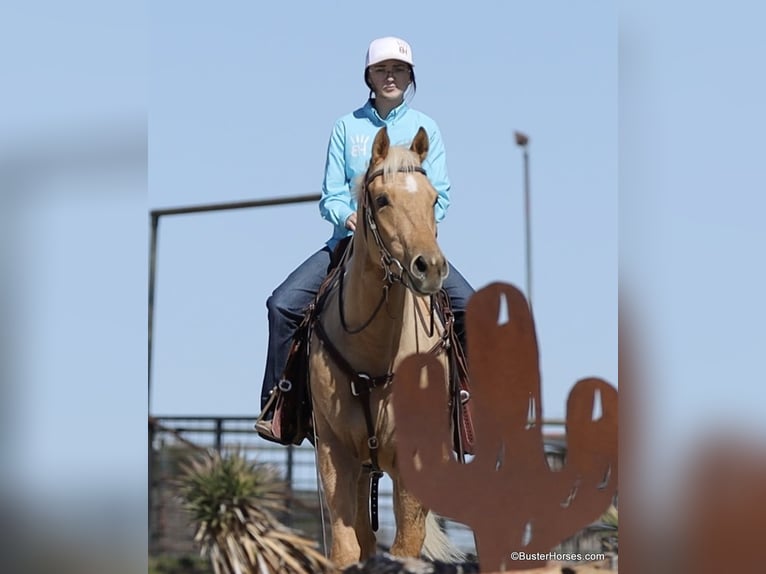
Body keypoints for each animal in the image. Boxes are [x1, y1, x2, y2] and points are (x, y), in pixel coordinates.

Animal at [309, 126, 461, 568]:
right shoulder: (335, 454)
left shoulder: (416, 460)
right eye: (382, 200)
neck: (376, 355)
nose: (430, 267)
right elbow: (347, 549)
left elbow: (406, 547)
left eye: (434, 199)